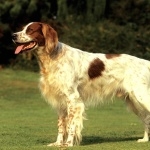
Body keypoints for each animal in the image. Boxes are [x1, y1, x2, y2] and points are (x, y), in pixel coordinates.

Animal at [12, 22, 150, 146]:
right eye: (23, 28)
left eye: (30, 30)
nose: (13, 35)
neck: (53, 56)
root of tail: (146, 62)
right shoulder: (60, 100)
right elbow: (61, 125)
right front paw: (58, 143)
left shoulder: (73, 99)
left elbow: (71, 125)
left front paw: (68, 144)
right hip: (133, 101)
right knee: (146, 118)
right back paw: (144, 140)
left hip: (141, 96)